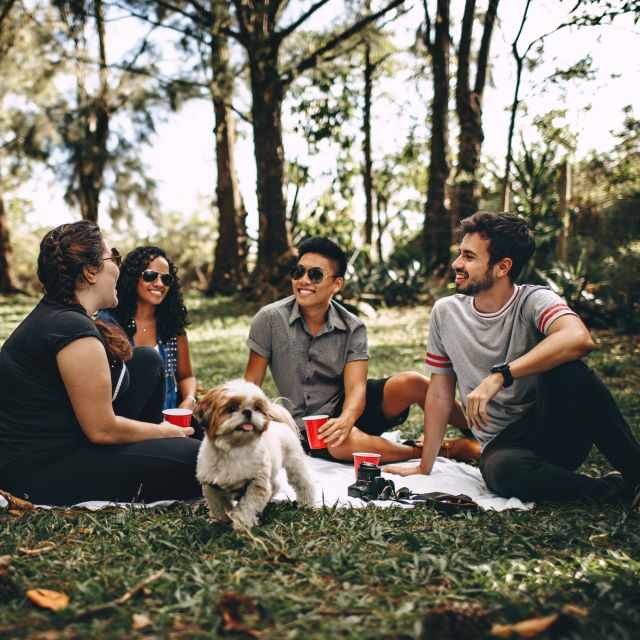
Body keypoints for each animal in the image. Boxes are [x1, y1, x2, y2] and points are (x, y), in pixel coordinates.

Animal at [194, 380, 316, 528]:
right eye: (231, 408)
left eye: (256, 408)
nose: (248, 412)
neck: (234, 448)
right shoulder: (212, 486)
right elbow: (219, 506)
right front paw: (220, 521)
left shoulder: (257, 483)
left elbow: (248, 506)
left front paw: (242, 524)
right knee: (275, 485)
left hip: (295, 464)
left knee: (304, 484)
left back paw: (307, 504)